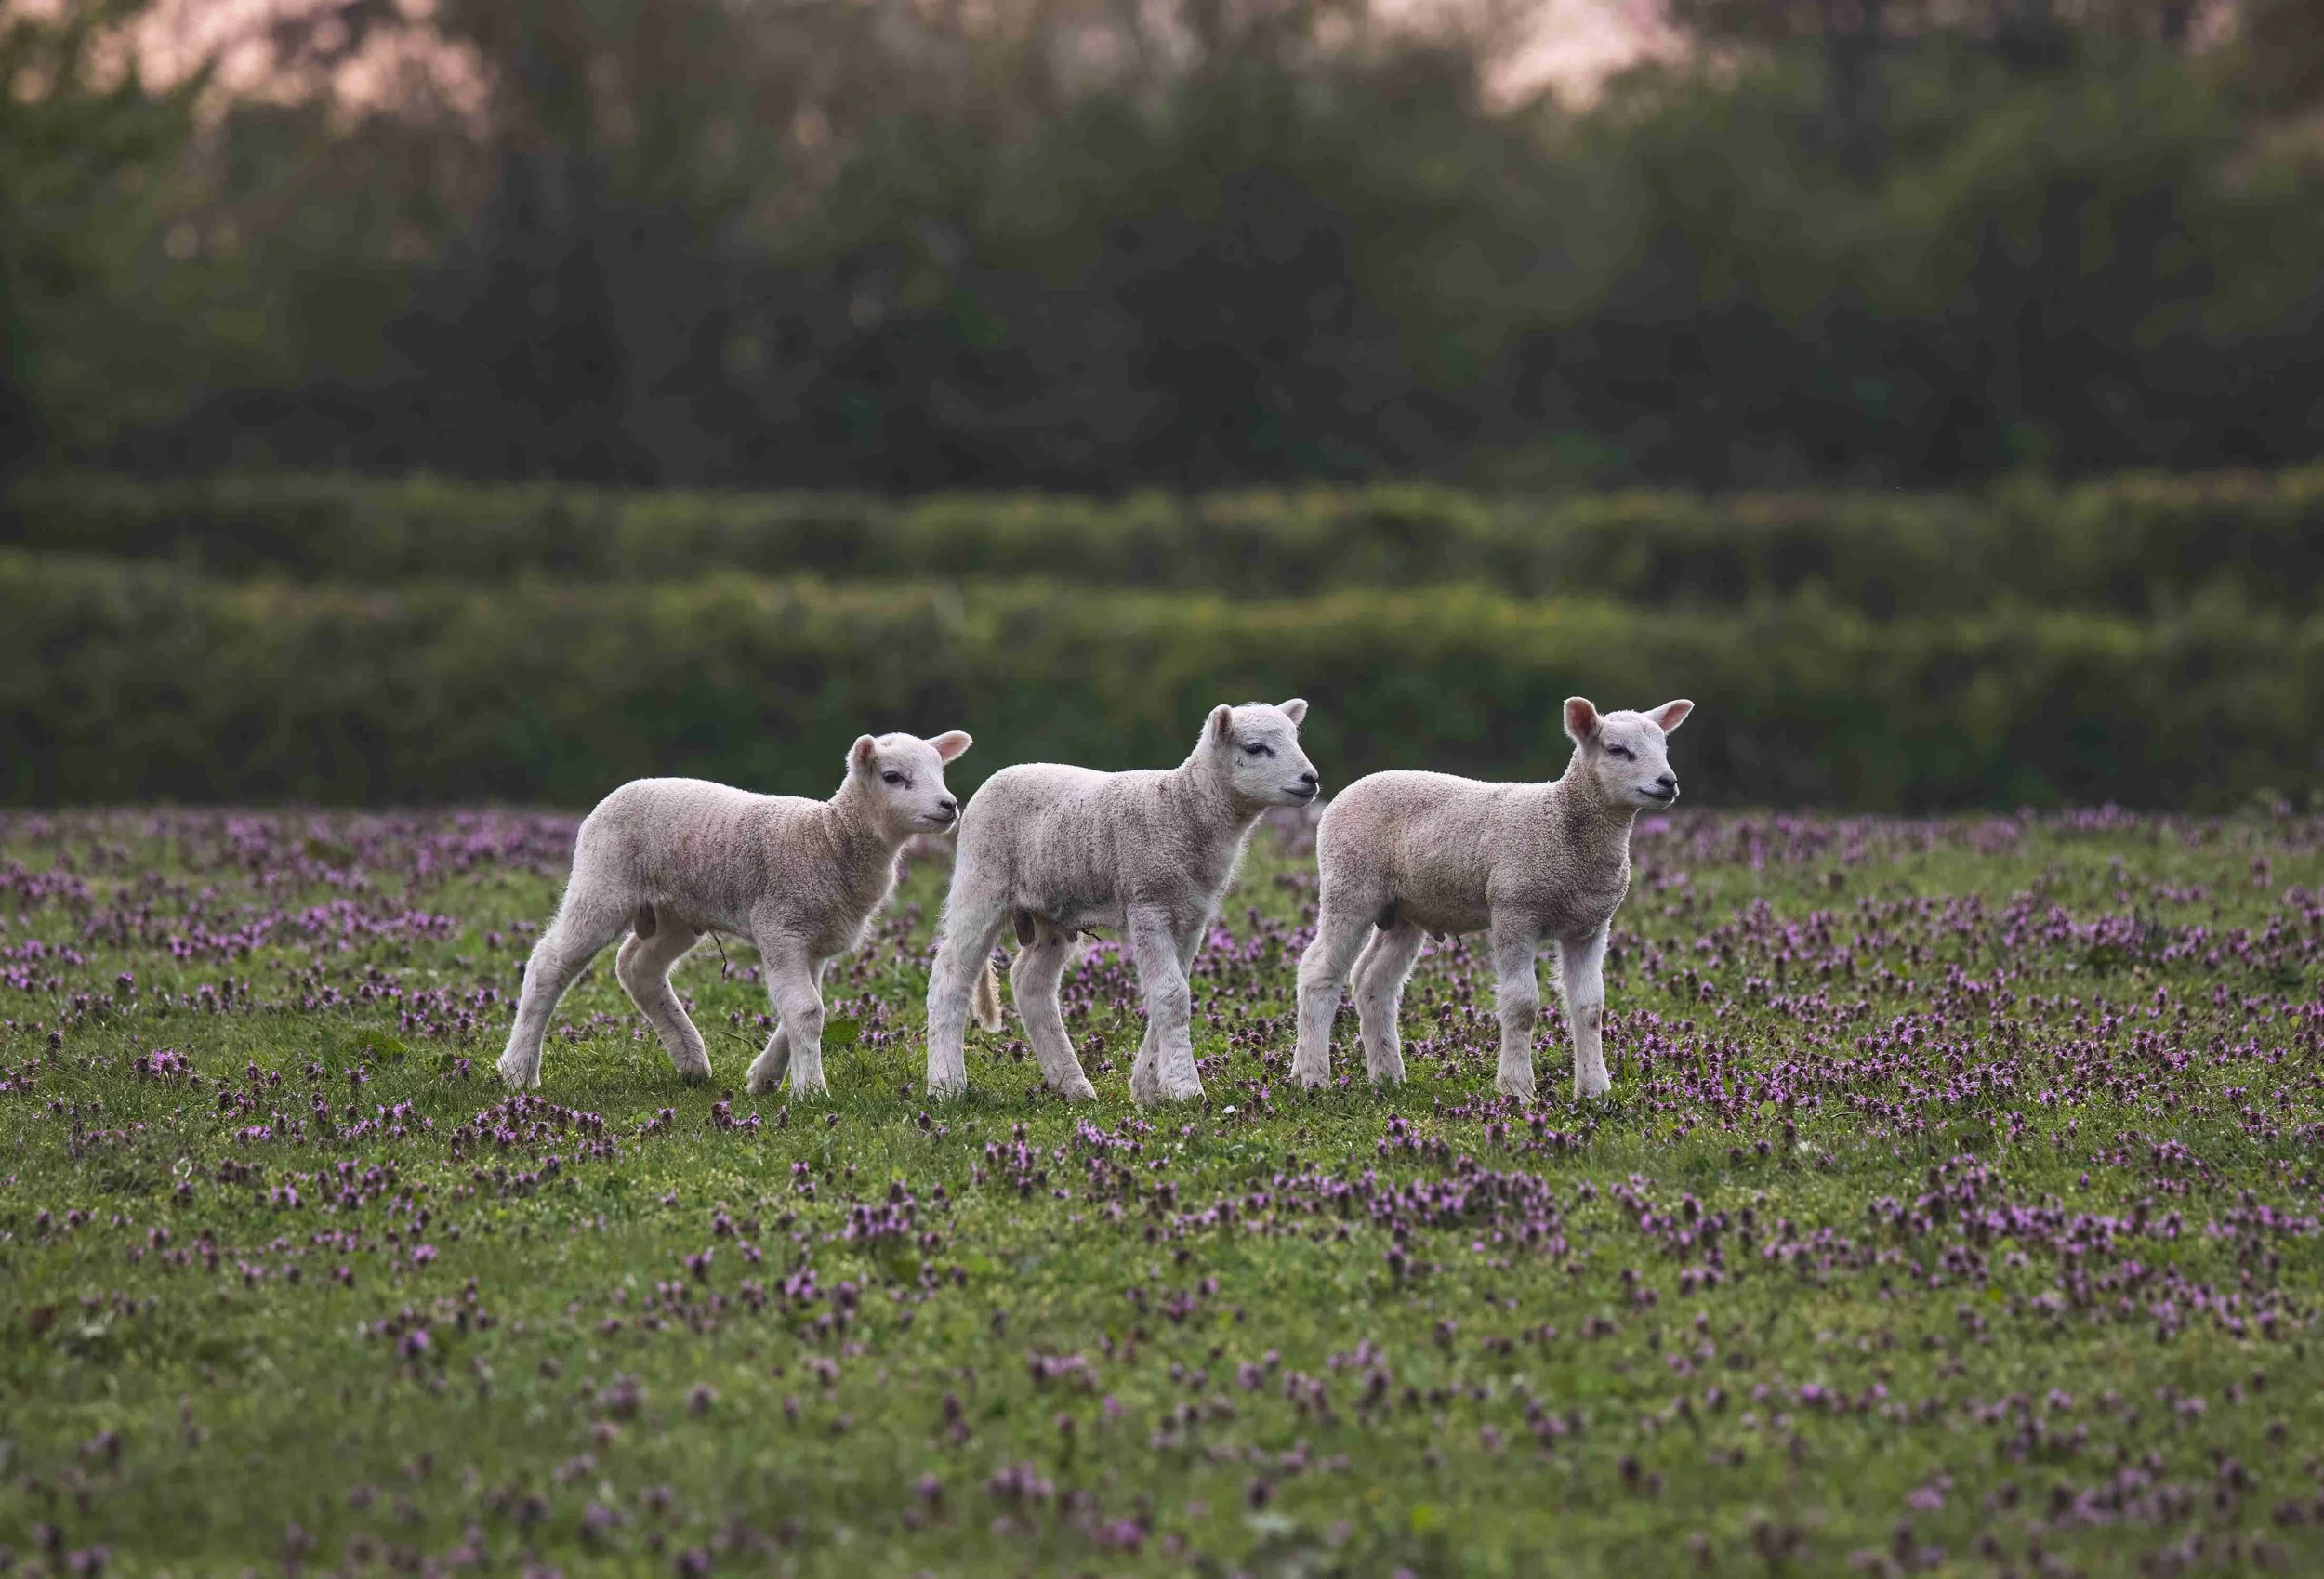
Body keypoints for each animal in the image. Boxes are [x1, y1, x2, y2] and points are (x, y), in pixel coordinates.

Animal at [496, 731, 973, 1097]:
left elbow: (799, 1011)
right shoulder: (783, 927)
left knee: (637, 966)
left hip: (675, 911)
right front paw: (810, 1091)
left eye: (941, 772)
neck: (829, 837)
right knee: (550, 963)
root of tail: (619, 791)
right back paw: (518, 1071)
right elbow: (806, 1011)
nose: (949, 805)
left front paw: (765, 1079)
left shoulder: (814, 941)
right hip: (602, 882)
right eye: (893, 777)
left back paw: (691, 1061)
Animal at [925, 701, 1319, 1106]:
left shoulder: (1191, 915)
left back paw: (1072, 1084)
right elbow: (1171, 995)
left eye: (1295, 738)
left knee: (1030, 982)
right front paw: (1186, 1089)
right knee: (950, 974)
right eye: (1255, 749)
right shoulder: (1148, 903)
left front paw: (1149, 1088)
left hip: (1053, 910)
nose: (1311, 779)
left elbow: (1173, 993)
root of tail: (1002, 774)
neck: (1182, 809)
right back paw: (946, 1085)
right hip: (981, 882)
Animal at [1291, 697, 1692, 1103]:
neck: (1562, 822)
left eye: (1665, 748)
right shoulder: (1515, 911)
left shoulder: (1590, 926)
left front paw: (1595, 1092)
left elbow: (1590, 1007)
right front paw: (1517, 1089)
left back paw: (1388, 1078)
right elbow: (1522, 1004)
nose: (1669, 782)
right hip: (1350, 886)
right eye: (1617, 750)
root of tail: (1347, 792)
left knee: (1374, 982)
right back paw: (1311, 1077)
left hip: (1404, 908)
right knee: (1318, 973)